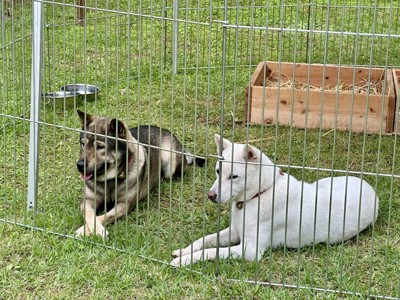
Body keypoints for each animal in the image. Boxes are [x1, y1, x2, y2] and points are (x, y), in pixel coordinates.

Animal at [170, 135, 380, 266]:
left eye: (234, 177)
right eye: (217, 171)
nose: (210, 196)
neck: (259, 194)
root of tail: (370, 187)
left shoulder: (249, 250)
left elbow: (212, 252)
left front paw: (184, 261)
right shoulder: (235, 232)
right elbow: (205, 239)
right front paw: (184, 251)